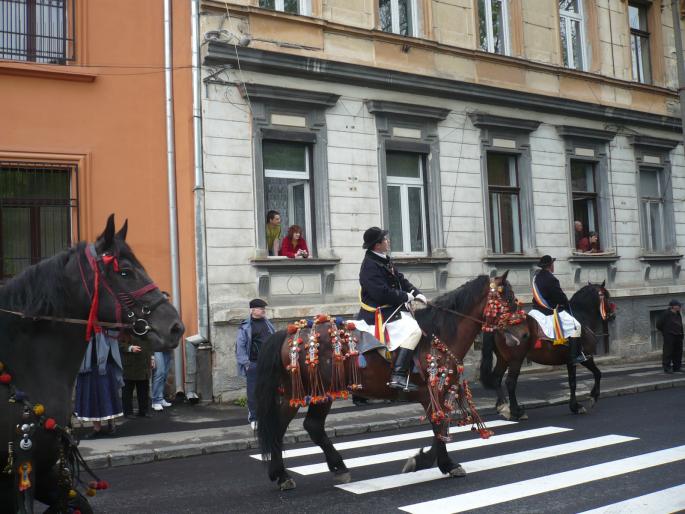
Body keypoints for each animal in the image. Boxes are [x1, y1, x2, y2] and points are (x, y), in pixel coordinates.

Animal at [0, 214, 183, 510]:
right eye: (125, 272)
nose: (176, 327)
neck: (22, 365)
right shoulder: (18, 474)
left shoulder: (44, 468)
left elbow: (80, 503)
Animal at [254, 272, 528, 488]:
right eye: (508, 299)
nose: (525, 334)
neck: (439, 333)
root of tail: (289, 333)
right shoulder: (432, 394)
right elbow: (439, 428)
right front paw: (432, 462)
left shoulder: (436, 396)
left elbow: (440, 429)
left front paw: (437, 463)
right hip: (310, 392)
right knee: (288, 427)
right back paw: (287, 475)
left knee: (306, 426)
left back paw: (327, 468)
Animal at [480, 280, 616, 420]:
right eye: (607, 296)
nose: (612, 315)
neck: (581, 316)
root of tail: (498, 324)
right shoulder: (585, 358)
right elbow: (597, 374)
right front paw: (592, 397)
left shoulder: (570, 362)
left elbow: (573, 382)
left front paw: (575, 406)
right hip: (515, 360)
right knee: (510, 382)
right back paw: (517, 412)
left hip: (503, 359)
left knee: (497, 379)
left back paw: (504, 408)